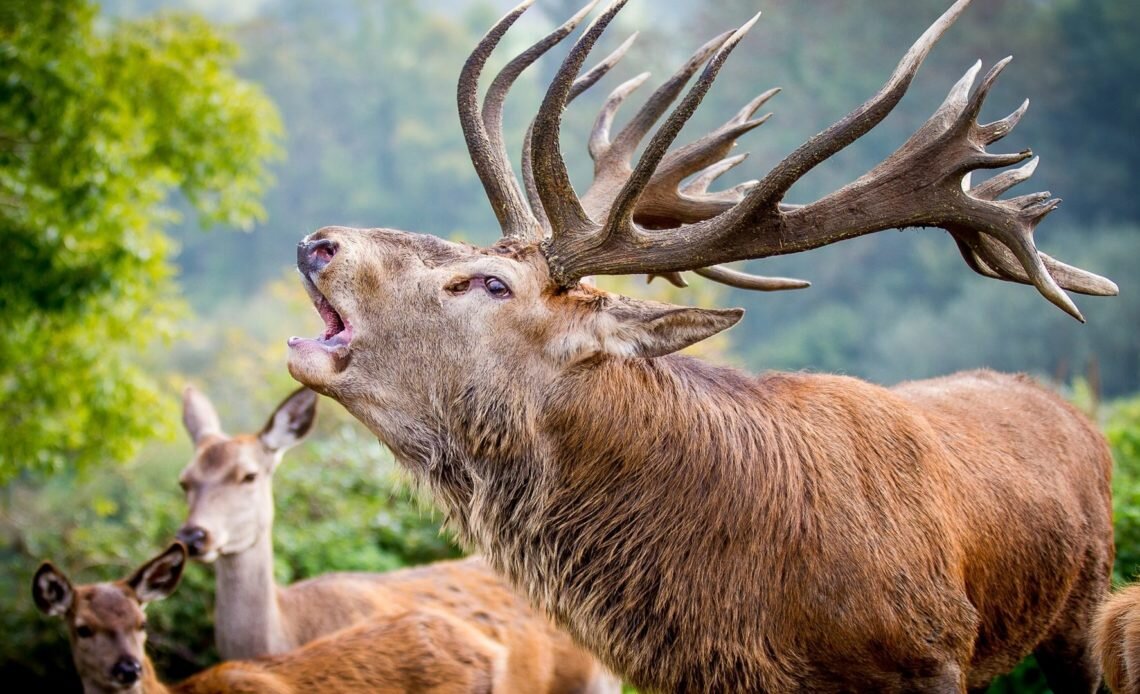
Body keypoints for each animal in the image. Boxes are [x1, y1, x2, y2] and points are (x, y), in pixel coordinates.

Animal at [282, 1, 1112, 688]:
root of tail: (1075, 415)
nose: (320, 241)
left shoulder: (930, 652)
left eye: (491, 283)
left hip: (1086, 609)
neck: (749, 616)